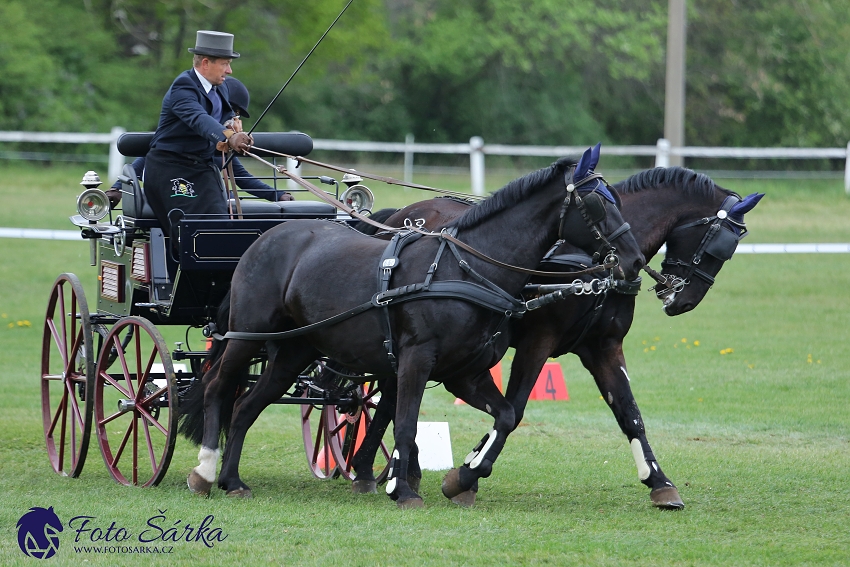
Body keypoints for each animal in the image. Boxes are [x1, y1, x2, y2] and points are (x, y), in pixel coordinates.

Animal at [181, 149, 644, 508]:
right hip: (247, 338)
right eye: (598, 202)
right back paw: (204, 471)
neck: (467, 269)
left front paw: (461, 477)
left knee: (246, 406)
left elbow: (507, 415)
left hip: (293, 353)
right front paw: (401, 488)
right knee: (218, 388)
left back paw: (232, 481)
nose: (635, 259)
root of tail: (263, 239)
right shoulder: (416, 359)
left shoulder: (464, 374)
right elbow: (404, 421)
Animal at [344, 166, 760, 508]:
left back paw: (381, 470)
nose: (683, 300)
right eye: (720, 245)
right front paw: (467, 475)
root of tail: (402, 215)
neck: (589, 260)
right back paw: (382, 471)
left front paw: (659, 482)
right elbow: (514, 409)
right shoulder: (537, 341)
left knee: (391, 395)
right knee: (395, 395)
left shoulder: (604, 347)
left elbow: (630, 414)